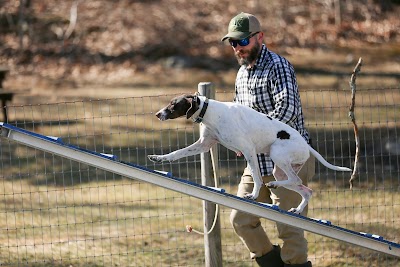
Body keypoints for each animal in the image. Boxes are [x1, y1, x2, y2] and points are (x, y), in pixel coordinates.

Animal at [147, 94, 350, 216]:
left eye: (173, 105)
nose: (157, 114)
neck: (211, 112)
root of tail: (307, 146)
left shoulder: (248, 150)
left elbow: (257, 177)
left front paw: (253, 195)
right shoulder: (203, 145)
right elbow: (177, 153)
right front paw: (159, 158)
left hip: (277, 154)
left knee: (296, 180)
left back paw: (274, 185)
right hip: (281, 169)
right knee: (306, 190)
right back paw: (297, 208)